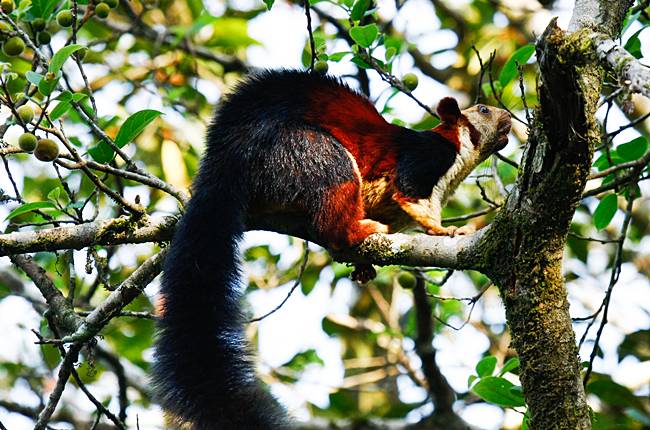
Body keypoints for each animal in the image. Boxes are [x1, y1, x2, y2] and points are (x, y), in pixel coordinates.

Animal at [152, 69, 512, 428]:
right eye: (482, 110)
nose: (509, 117)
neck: (457, 161)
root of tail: (230, 159)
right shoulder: (426, 159)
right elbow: (411, 195)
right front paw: (445, 229)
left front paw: (364, 266)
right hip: (310, 153)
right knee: (334, 212)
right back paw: (359, 229)